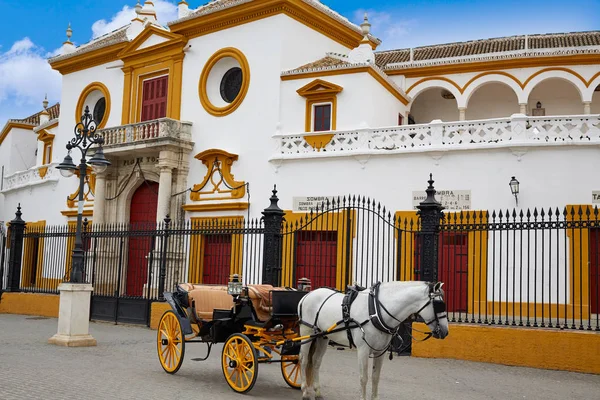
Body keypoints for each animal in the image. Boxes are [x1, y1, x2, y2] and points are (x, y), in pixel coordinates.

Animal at [298, 282, 448, 400]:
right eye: (439, 305)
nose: (445, 332)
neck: (375, 311)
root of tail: (307, 295)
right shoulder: (363, 350)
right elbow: (364, 378)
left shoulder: (380, 351)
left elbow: (376, 377)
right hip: (307, 333)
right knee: (303, 360)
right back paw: (305, 391)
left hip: (322, 336)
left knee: (316, 361)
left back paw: (317, 392)